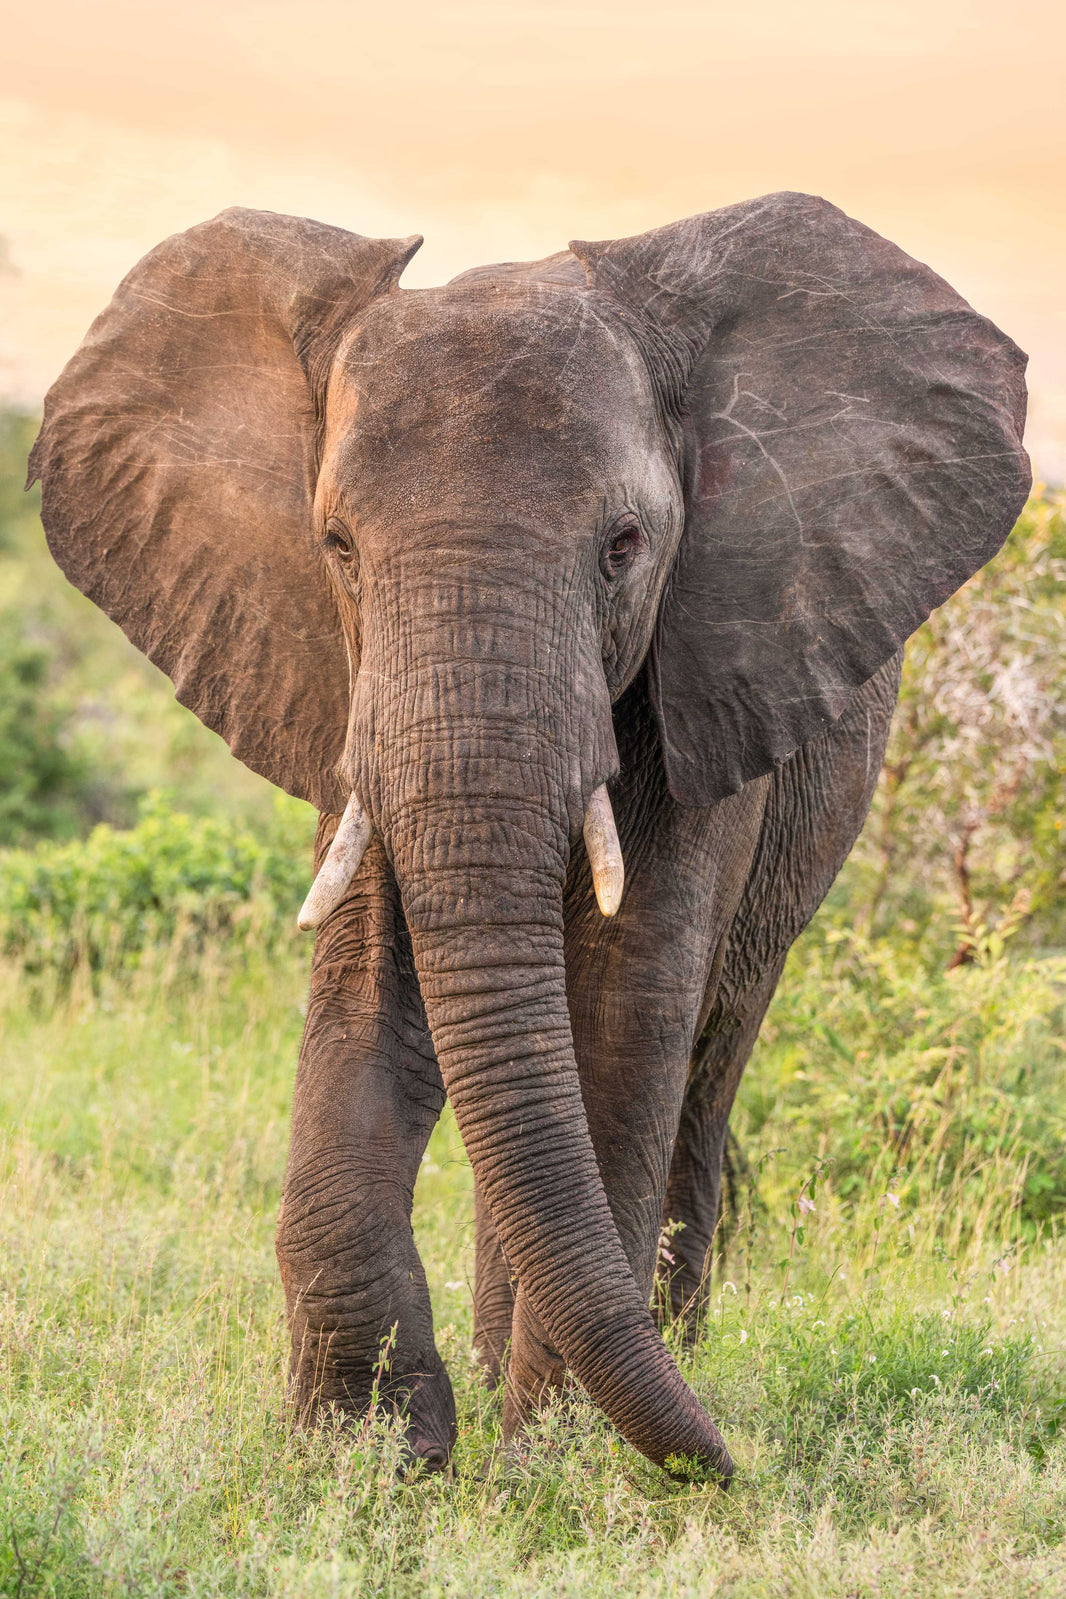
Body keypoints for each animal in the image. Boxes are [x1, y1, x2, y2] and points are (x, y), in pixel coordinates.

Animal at [29, 192, 1029, 1483]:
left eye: (625, 546)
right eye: (337, 548)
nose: (732, 1467)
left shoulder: (702, 678)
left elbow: (622, 1006)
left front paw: (549, 1474)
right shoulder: (344, 689)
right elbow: (369, 986)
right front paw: (366, 1466)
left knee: (706, 1058)